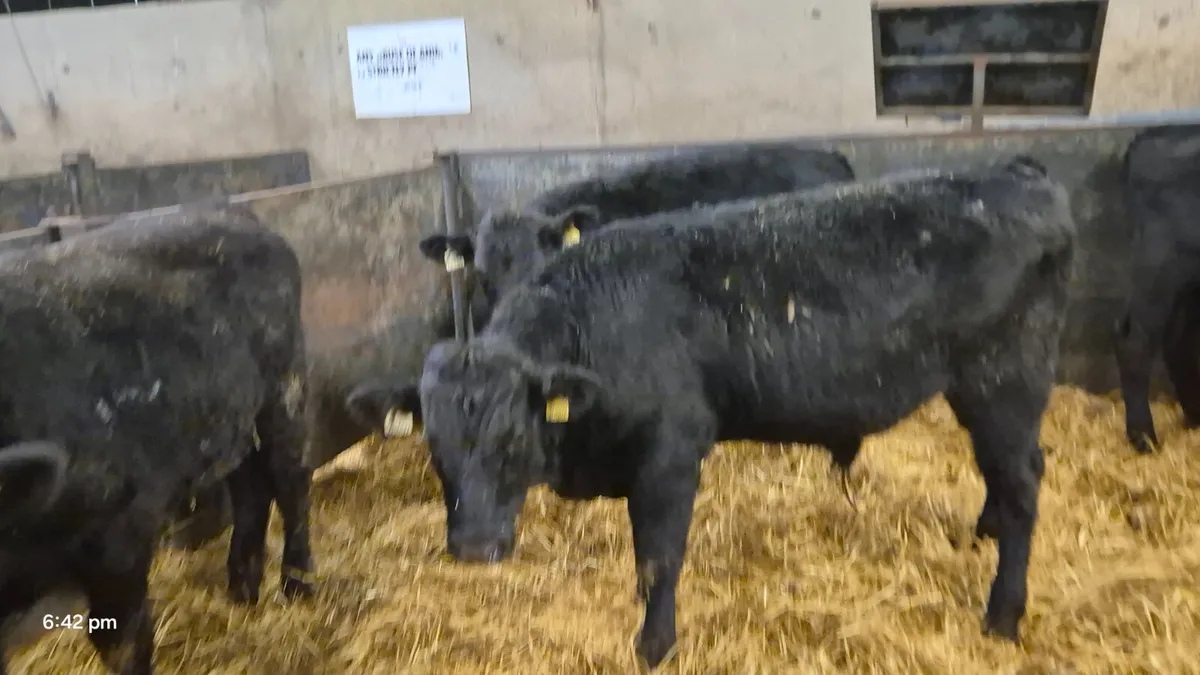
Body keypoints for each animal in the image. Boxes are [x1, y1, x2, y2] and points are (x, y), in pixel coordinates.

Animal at [0, 207, 315, 675]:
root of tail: (235, 212)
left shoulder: (120, 530)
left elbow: (123, 641)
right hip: (234, 418)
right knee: (251, 489)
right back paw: (242, 590)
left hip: (285, 388)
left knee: (291, 481)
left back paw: (298, 585)